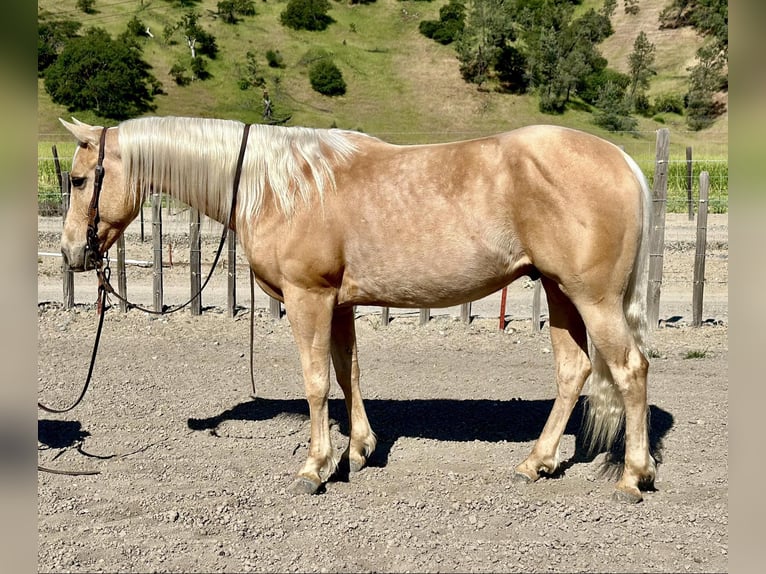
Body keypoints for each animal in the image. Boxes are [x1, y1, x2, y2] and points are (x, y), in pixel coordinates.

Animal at [61, 117, 656, 504]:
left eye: (79, 179)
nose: (72, 253)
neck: (281, 185)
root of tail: (623, 161)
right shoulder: (339, 302)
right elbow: (348, 373)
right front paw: (360, 450)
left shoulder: (310, 297)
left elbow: (317, 382)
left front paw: (315, 468)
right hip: (559, 292)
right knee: (574, 369)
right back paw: (537, 463)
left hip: (593, 298)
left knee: (630, 370)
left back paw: (632, 477)